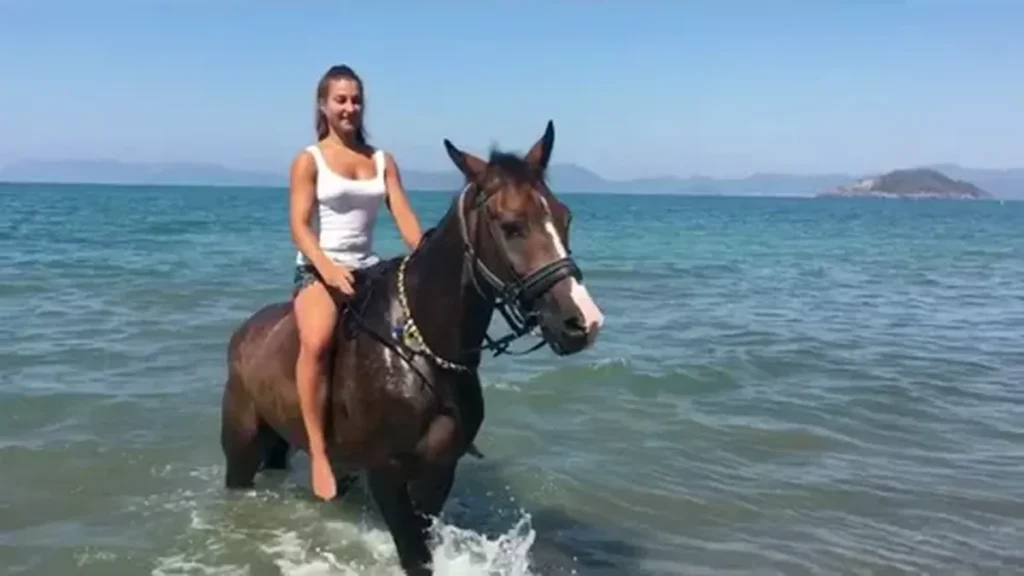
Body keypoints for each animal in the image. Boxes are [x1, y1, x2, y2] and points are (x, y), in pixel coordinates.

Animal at [219, 120, 605, 575]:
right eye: (512, 225)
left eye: (565, 217)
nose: (582, 322)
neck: (421, 348)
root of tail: (245, 332)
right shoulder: (387, 473)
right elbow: (414, 553)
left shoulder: (438, 471)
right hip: (241, 449)